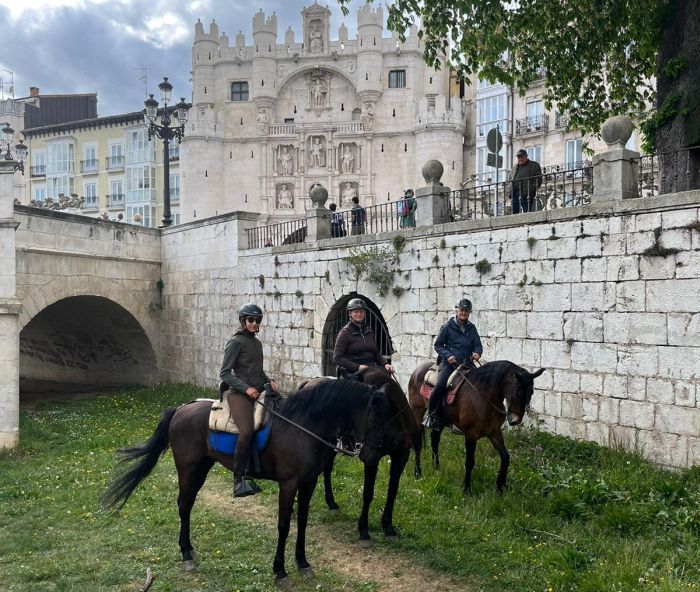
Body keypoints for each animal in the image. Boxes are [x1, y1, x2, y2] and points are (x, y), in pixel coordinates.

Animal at [102, 380, 392, 588]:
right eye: (374, 417)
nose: (371, 455)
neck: (302, 427)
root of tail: (180, 409)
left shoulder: (309, 482)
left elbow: (302, 522)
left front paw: (302, 562)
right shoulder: (288, 484)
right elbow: (284, 525)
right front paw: (280, 571)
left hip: (202, 468)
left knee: (189, 504)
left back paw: (190, 550)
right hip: (188, 469)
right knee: (183, 505)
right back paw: (186, 555)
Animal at [300, 368, 422, 548]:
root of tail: (308, 383)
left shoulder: (401, 456)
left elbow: (392, 491)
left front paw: (388, 526)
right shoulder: (371, 460)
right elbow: (368, 493)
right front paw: (363, 530)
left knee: (327, 469)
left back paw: (331, 502)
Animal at [404, 360, 548, 494]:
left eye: (531, 392)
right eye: (518, 392)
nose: (515, 420)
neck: (484, 396)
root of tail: (418, 370)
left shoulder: (494, 432)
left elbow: (505, 457)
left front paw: (500, 487)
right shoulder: (471, 434)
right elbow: (469, 462)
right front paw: (467, 489)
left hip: (440, 421)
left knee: (434, 439)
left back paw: (436, 467)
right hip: (417, 412)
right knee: (418, 444)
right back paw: (418, 472)